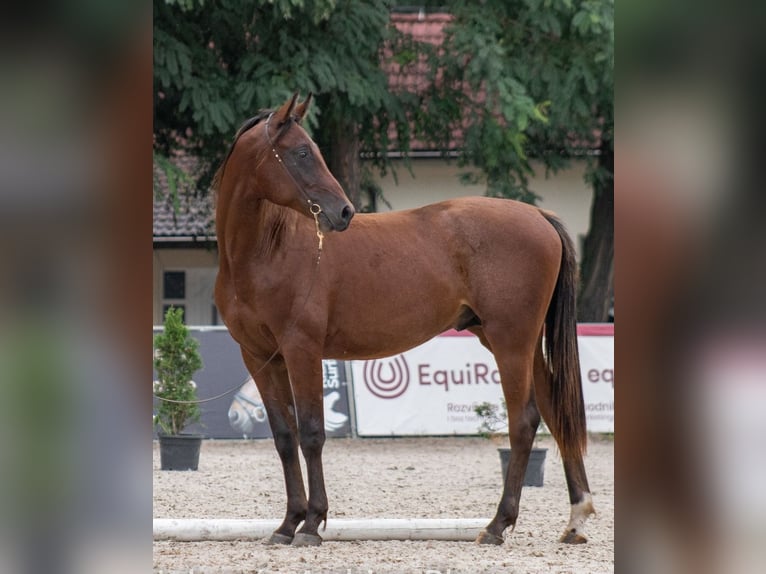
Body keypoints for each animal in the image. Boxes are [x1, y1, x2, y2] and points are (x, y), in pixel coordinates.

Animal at [213, 93, 596, 548]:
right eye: (302, 152)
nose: (343, 212)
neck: (266, 251)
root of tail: (539, 215)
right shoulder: (259, 357)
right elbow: (285, 438)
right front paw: (287, 524)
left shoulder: (301, 350)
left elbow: (312, 434)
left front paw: (312, 523)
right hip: (522, 344)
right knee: (556, 413)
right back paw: (575, 519)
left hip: (511, 344)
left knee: (524, 422)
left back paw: (497, 525)